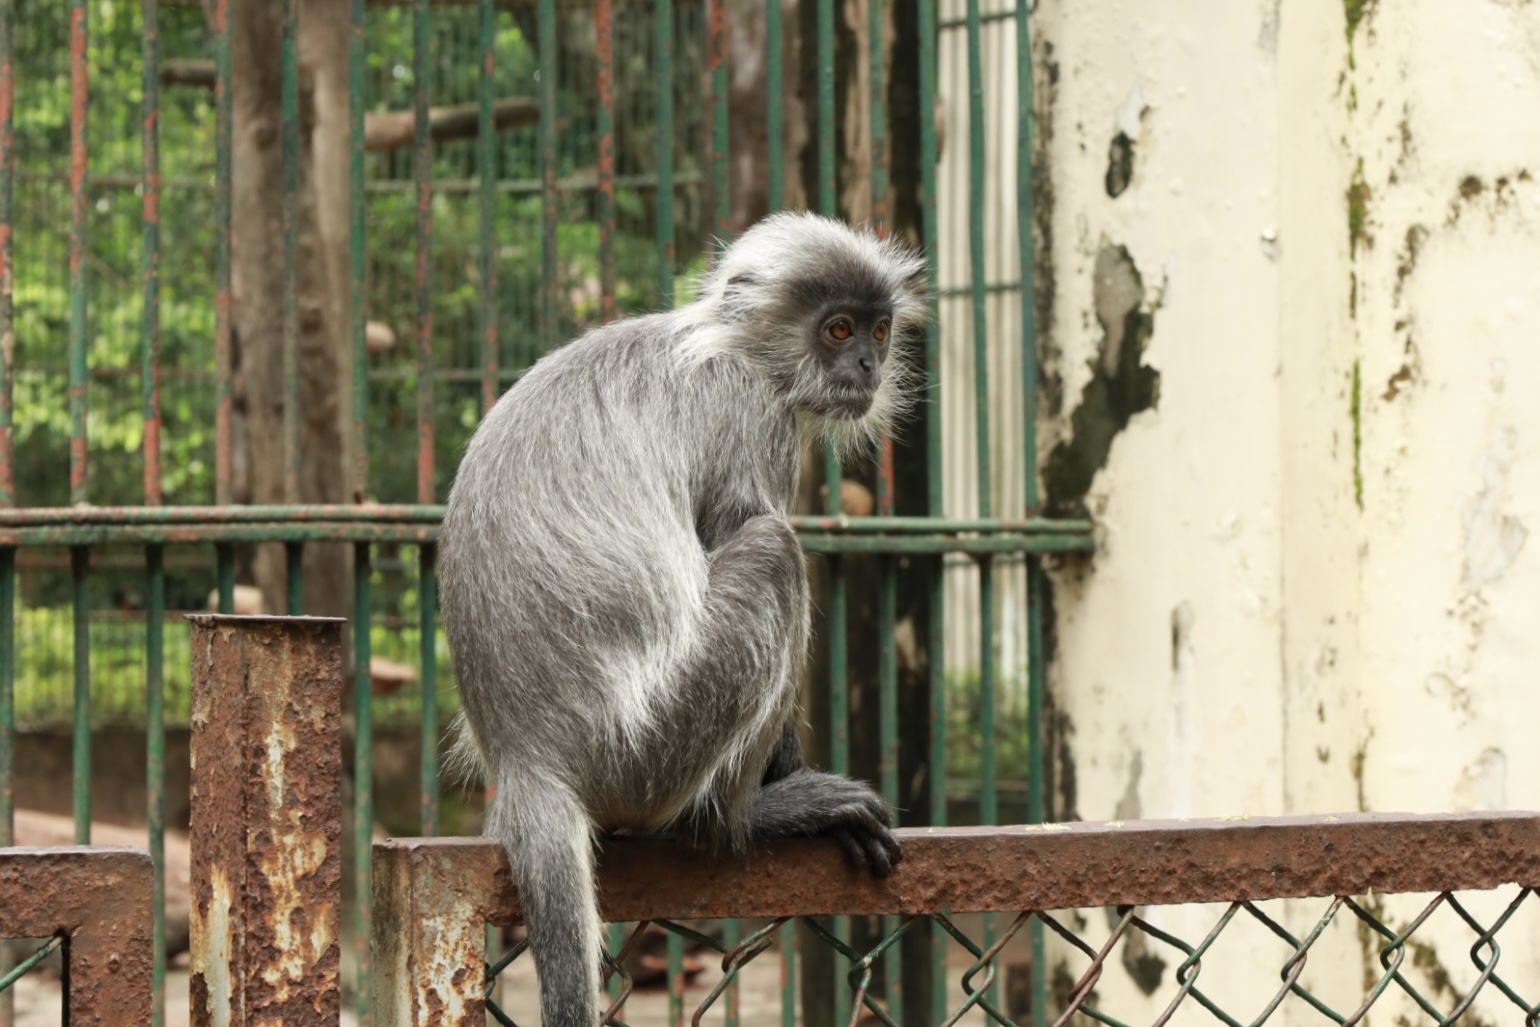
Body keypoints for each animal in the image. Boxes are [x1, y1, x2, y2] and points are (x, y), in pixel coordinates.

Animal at [443, 210, 924, 1027]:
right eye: (836, 329)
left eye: (879, 329)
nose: (865, 364)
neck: (727, 343)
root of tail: (525, 754)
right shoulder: (750, 414)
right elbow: (737, 525)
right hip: (649, 744)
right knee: (771, 549)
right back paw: (744, 817)